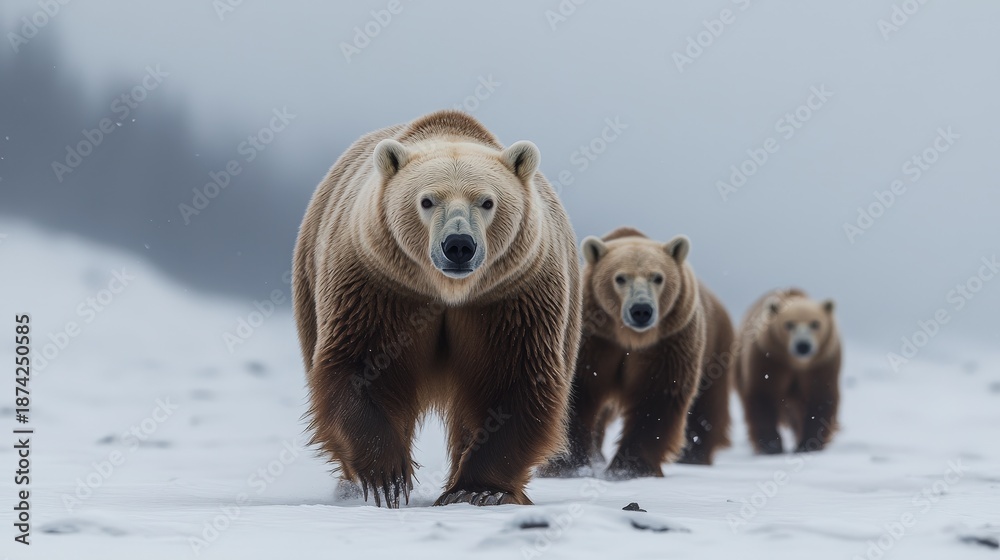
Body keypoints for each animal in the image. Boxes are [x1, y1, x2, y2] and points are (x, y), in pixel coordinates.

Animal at [292, 110, 581, 508]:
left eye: (487, 201)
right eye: (427, 200)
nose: (458, 244)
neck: (448, 292)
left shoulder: (510, 297)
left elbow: (513, 380)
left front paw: (477, 489)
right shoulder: (380, 286)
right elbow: (362, 365)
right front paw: (387, 478)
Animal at [539, 227, 734, 479]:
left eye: (658, 277)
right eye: (620, 278)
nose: (641, 310)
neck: (629, 338)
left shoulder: (668, 343)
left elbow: (656, 396)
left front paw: (629, 468)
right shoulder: (595, 340)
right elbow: (580, 390)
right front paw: (569, 466)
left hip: (716, 349)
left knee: (708, 404)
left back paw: (695, 457)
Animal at [733, 288, 841, 454]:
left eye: (815, 324)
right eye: (789, 324)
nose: (803, 345)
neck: (796, 364)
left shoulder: (822, 364)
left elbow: (820, 398)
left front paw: (808, 444)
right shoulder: (769, 359)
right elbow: (764, 395)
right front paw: (771, 445)